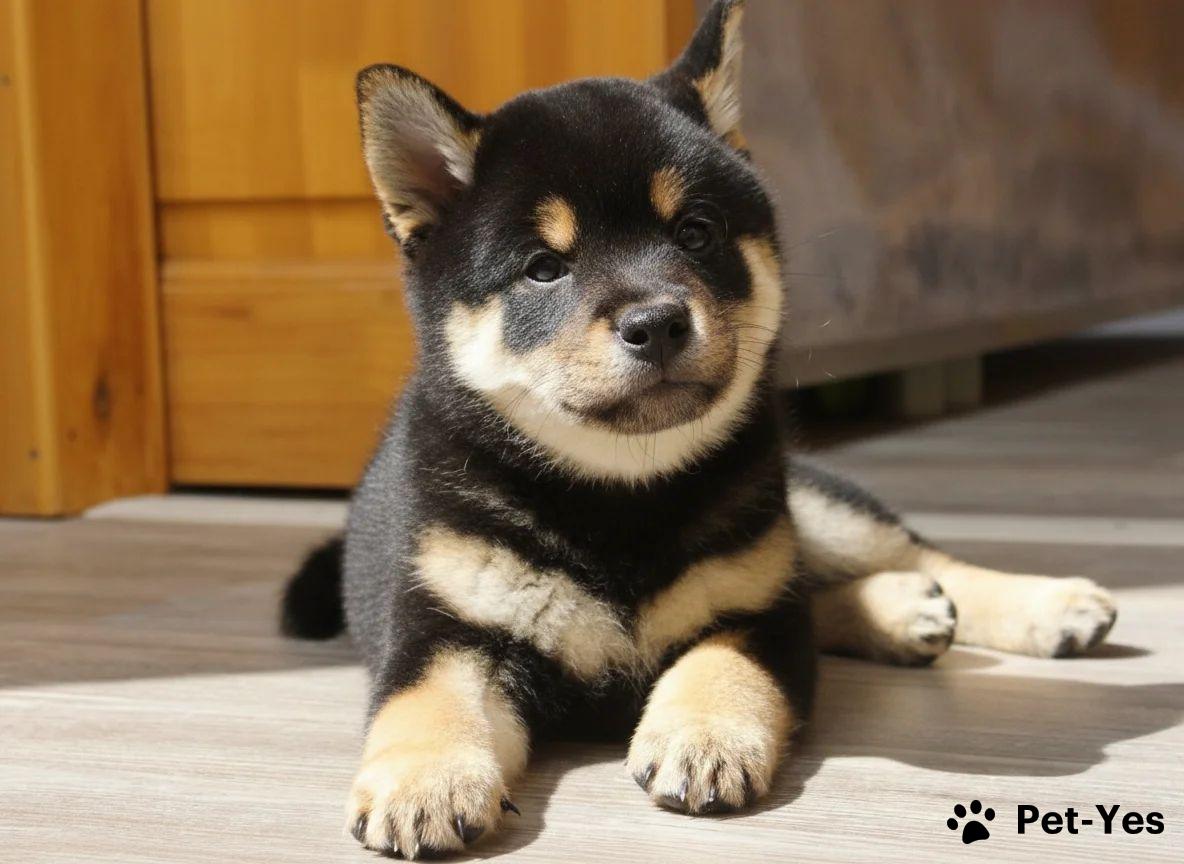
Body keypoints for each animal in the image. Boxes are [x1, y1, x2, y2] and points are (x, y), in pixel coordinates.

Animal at [280, 1, 1117, 857]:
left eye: (695, 232)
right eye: (543, 267)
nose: (656, 321)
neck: (617, 496)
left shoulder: (754, 614)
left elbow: (724, 660)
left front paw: (704, 734)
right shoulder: (443, 627)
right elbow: (425, 700)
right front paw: (424, 780)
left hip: (806, 507)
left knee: (900, 555)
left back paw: (1044, 605)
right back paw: (903, 610)